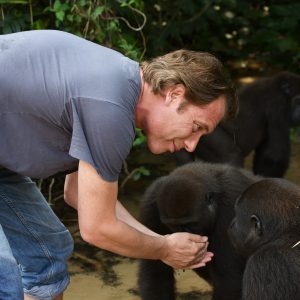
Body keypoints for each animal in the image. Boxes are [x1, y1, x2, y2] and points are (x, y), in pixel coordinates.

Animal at [138, 162, 260, 300]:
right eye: (173, 226)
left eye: (190, 224)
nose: (184, 239)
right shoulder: (150, 202)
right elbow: (155, 270)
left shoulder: (232, 201)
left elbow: (229, 279)